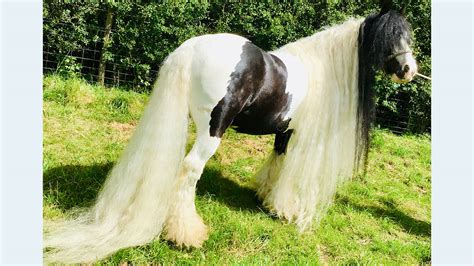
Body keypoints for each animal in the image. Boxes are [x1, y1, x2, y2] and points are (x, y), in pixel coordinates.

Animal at [44, 6, 418, 264]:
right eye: (390, 37)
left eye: (408, 36)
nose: (409, 69)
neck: (321, 72)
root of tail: (191, 50)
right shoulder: (302, 138)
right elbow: (289, 174)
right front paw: (285, 209)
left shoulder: (285, 132)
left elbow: (277, 161)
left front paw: (266, 197)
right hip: (212, 130)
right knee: (190, 170)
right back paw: (187, 234)